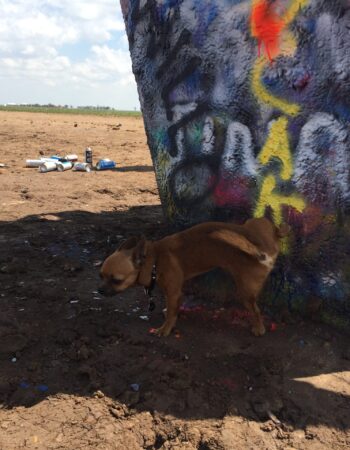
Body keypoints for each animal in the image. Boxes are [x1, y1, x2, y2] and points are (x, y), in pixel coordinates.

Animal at [99, 218, 290, 338]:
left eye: (116, 280)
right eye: (101, 275)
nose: (99, 290)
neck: (154, 259)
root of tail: (261, 248)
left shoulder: (173, 293)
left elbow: (171, 314)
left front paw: (165, 329)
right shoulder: (176, 294)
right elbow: (174, 309)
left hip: (245, 292)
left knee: (256, 311)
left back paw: (259, 328)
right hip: (254, 222)